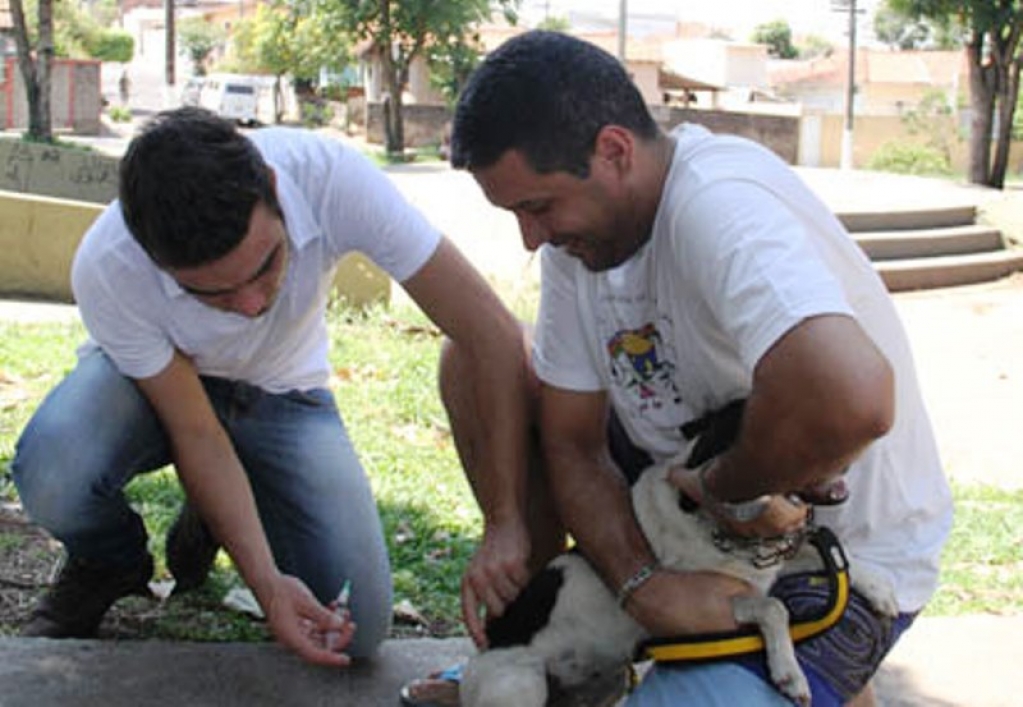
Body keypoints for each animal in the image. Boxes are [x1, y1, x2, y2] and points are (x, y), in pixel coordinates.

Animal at [460, 403, 900, 707]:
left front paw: (878, 589)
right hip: (521, 684)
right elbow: (776, 608)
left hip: (603, 684)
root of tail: (482, 653)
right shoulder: (714, 601)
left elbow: (820, 552)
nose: (860, 445)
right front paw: (789, 673)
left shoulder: (768, 564)